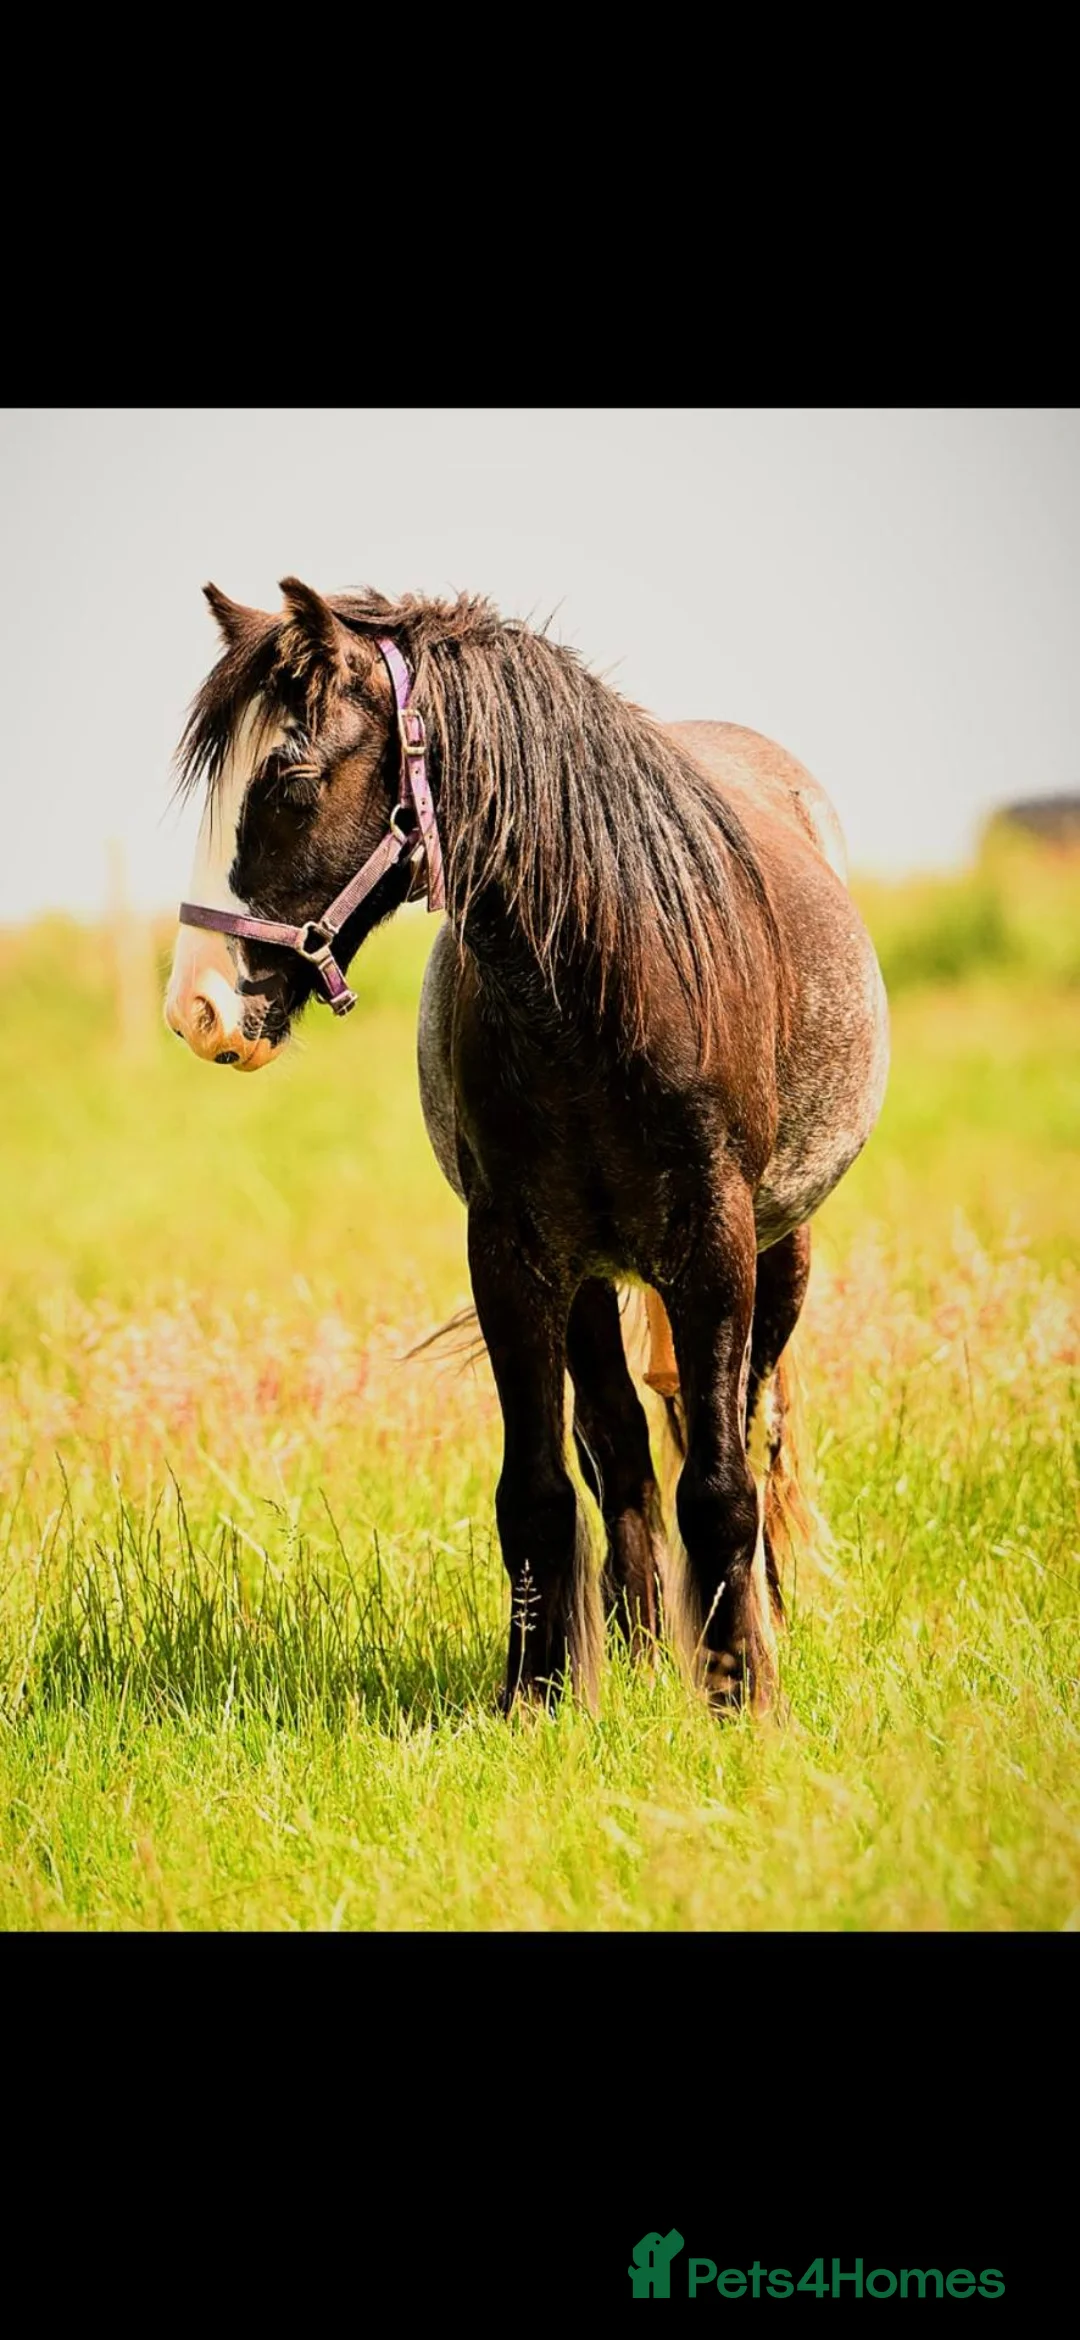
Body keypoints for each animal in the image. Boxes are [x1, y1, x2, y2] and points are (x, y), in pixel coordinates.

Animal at [165, 577, 889, 1716]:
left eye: (291, 778)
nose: (197, 1008)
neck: (605, 984)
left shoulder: (717, 1249)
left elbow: (721, 1481)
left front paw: (739, 1694)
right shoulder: (514, 1255)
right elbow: (542, 1488)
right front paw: (541, 1695)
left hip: (781, 1254)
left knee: (753, 1426)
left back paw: (752, 1625)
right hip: (593, 1278)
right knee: (621, 1452)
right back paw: (639, 1649)